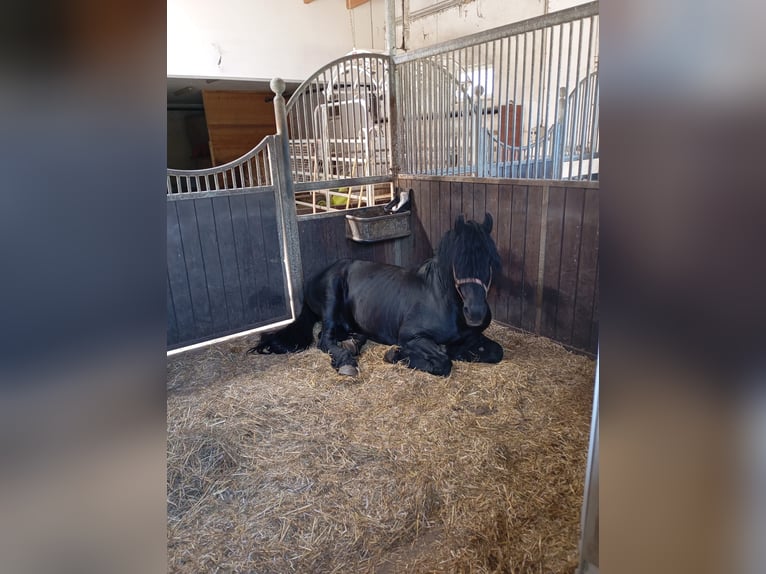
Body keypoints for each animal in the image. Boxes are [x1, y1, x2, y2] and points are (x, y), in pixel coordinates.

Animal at [248, 213, 503, 377]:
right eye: (458, 262)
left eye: (489, 260)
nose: (476, 314)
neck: (441, 299)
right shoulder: (411, 336)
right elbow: (442, 362)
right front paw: (397, 355)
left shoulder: (471, 337)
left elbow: (495, 352)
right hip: (331, 298)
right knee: (324, 339)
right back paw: (346, 361)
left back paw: (352, 344)